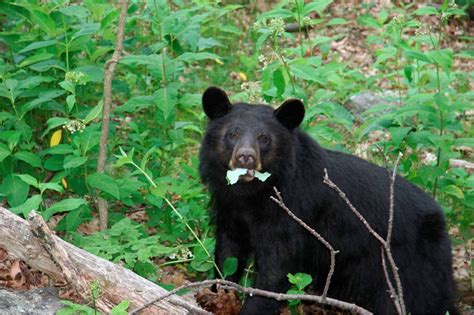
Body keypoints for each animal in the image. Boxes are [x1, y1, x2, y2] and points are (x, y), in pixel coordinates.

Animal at [199, 87, 456, 315]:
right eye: (232, 133)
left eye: (264, 138)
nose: (246, 157)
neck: (253, 195)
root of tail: (441, 219)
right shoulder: (229, 210)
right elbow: (228, 255)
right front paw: (217, 294)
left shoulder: (292, 214)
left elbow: (275, 270)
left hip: (412, 267)